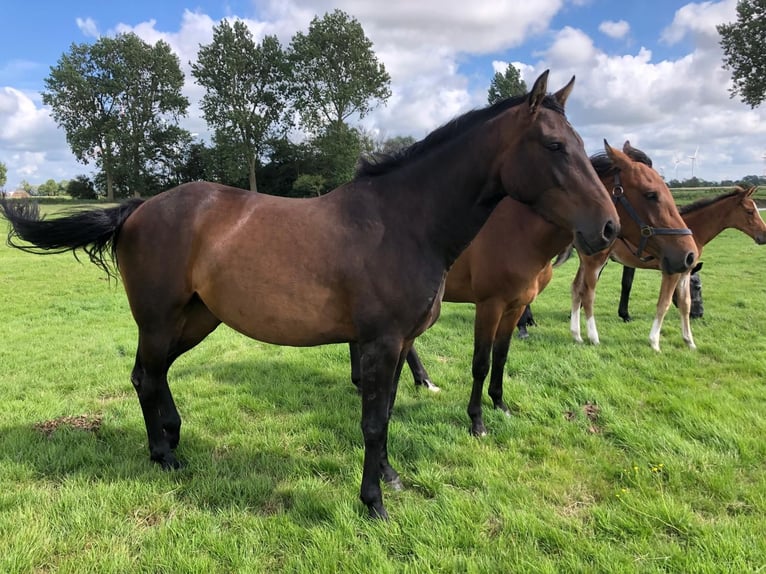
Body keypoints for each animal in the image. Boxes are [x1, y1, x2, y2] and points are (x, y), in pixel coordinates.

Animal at [0, 71, 620, 520]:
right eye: (554, 145)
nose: (608, 228)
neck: (403, 222)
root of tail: (137, 208)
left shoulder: (398, 345)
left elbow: (386, 413)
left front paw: (391, 478)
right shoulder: (380, 343)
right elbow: (372, 422)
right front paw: (374, 503)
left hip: (196, 320)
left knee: (152, 375)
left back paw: (173, 438)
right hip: (159, 320)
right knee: (146, 377)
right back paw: (164, 455)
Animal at [351, 142, 698, 437]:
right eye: (651, 194)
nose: (689, 254)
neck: (520, 232)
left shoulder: (515, 306)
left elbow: (502, 357)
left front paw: (499, 404)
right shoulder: (489, 306)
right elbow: (481, 363)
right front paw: (476, 421)